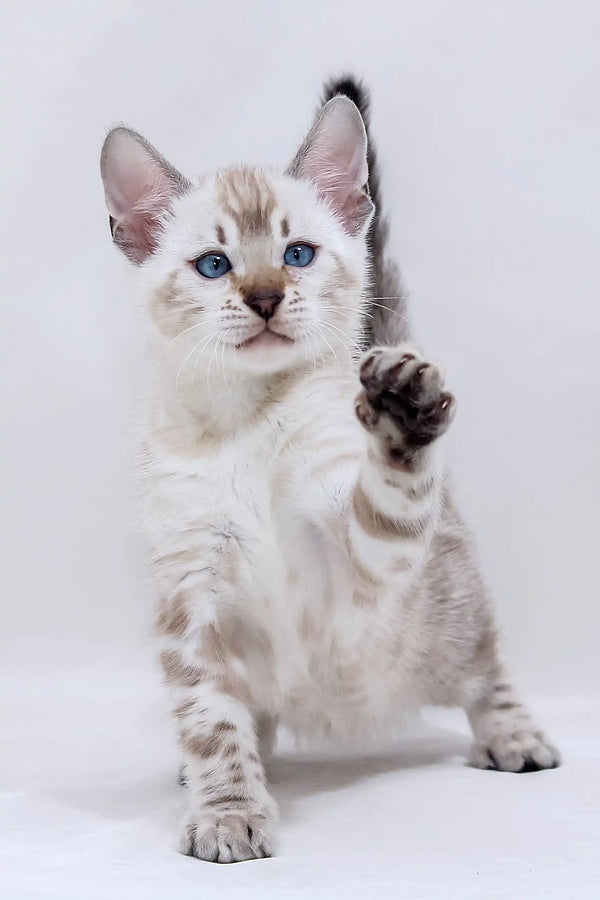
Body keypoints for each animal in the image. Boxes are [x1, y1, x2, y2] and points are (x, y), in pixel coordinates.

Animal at [101, 77, 560, 864]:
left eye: (298, 254)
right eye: (214, 265)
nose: (264, 298)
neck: (246, 421)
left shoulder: (353, 554)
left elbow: (388, 496)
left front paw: (403, 409)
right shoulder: (191, 593)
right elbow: (211, 720)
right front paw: (227, 813)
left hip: (447, 621)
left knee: (485, 668)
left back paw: (515, 739)